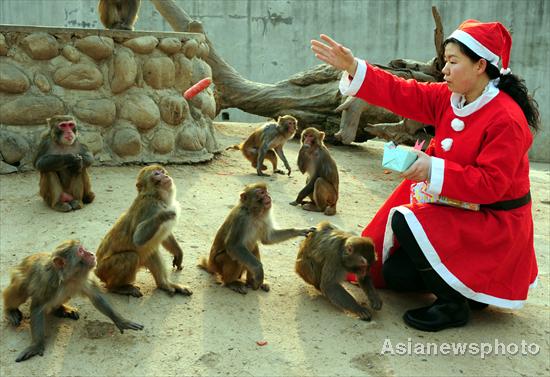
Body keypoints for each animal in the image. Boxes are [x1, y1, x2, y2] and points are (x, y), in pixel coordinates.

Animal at [2, 241, 144, 362]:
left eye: (84, 248)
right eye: (81, 251)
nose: (91, 253)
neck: (68, 277)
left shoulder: (83, 279)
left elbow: (97, 297)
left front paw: (121, 321)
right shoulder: (47, 282)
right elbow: (37, 307)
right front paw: (36, 345)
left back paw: (61, 309)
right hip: (19, 275)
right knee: (20, 287)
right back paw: (10, 310)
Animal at [94, 164, 191, 296]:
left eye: (162, 171)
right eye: (156, 174)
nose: (165, 176)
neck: (157, 197)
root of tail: (96, 269)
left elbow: (165, 237)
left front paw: (179, 253)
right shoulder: (150, 207)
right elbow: (138, 238)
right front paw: (162, 215)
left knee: (151, 251)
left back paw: (165, 284)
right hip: (106, 269)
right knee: (132, 256)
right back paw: (117, 288)